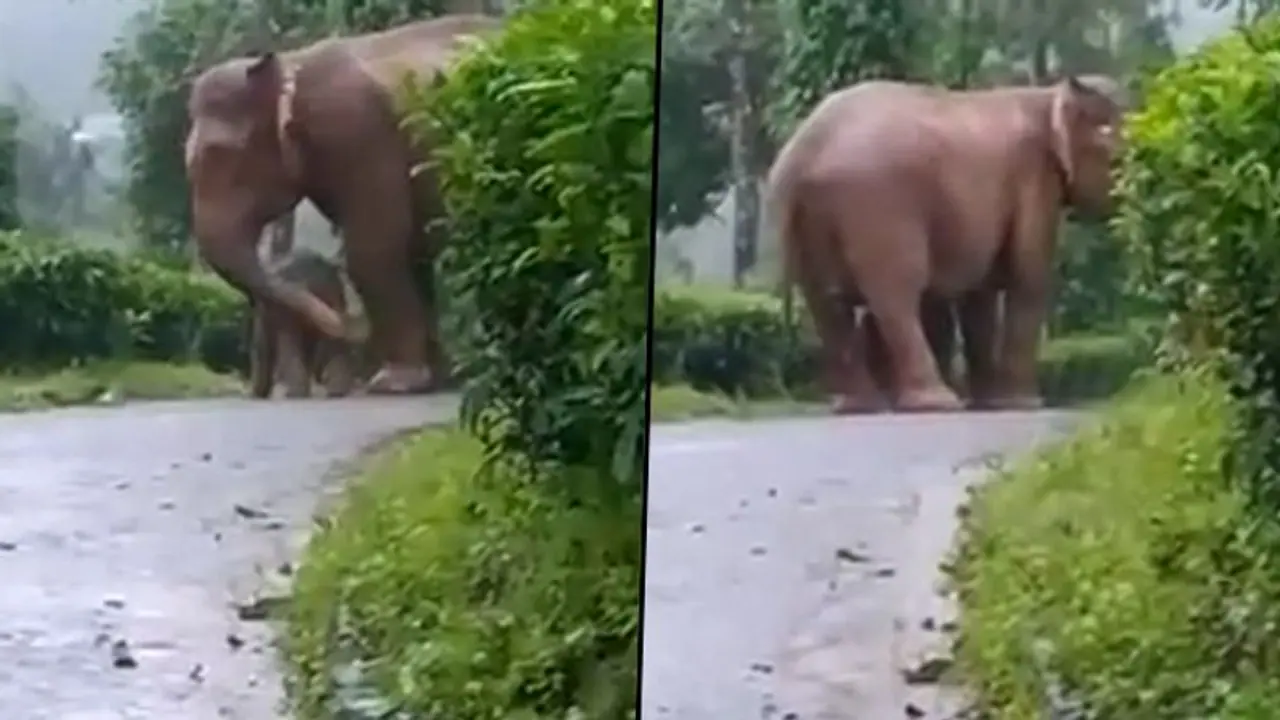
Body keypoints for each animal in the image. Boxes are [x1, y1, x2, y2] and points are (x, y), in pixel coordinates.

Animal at [772, 75, 1122, 413]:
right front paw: (1022, 404)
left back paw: (860, 407)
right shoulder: (1034, 177)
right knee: (897, 297)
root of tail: (798, 156)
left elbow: (980, 292)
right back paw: (935, 403)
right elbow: (1027, 277)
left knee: (828, 304)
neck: (1048, 95)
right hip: (878, 209)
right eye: (1117, 161)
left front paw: (988, 404)